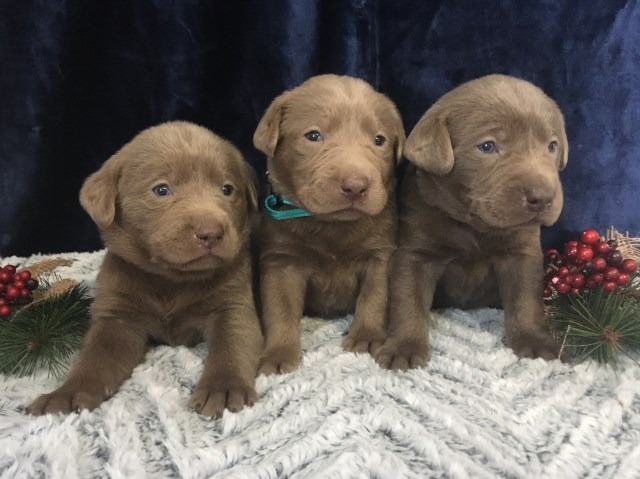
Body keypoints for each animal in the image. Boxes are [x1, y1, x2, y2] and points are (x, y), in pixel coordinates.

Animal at [28, 122, 264, 418]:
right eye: (161, 190)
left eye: (227, 189)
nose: (211, 233)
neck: (171, 281)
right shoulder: (117, 317)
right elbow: (96, 358)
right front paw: (66, 395)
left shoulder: (232, 305)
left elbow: (231, 346)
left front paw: (223, 388)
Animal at [252, 74, 402, 376]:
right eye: (313, 136)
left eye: (379, 140)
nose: (355, 186)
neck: (332, 226)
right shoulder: (281, 262)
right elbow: (280, 309)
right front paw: (278, 354)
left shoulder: (380, 255)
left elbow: (375, 297)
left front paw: (367, 337)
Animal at [378, 74, 568, 372]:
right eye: (487, 146)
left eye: (551, 145)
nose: (543, 197)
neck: (473, 225)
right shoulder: (415, 252)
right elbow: (408, 300)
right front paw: (404, 347)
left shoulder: (522, 253)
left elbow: (526, 299)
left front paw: (535, 340)